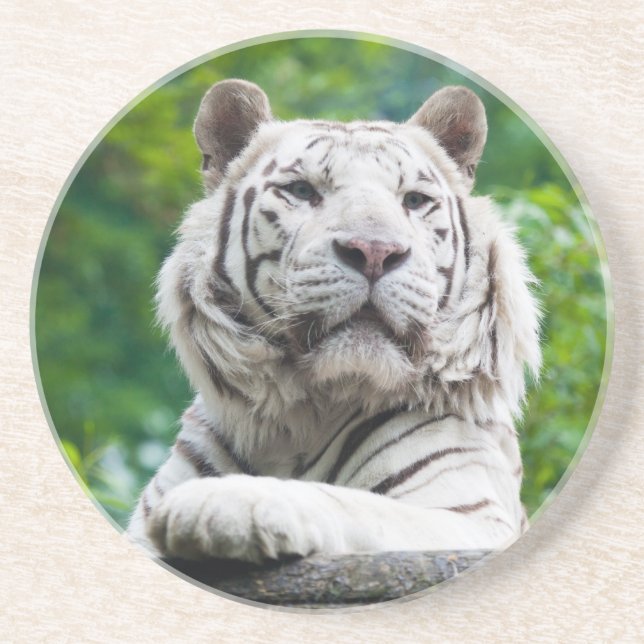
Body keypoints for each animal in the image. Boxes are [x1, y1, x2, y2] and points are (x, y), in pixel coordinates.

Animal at [126, 79, 541, 565]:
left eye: (414, 200)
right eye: (302, 190)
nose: (375, 252)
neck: (299, 421)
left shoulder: (469, 513)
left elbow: (355, 504)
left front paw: (220, 503)